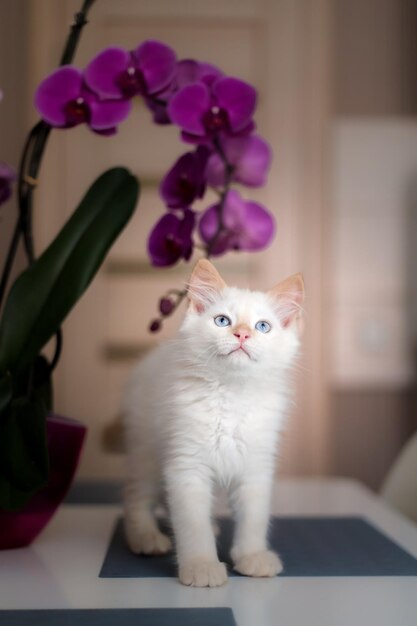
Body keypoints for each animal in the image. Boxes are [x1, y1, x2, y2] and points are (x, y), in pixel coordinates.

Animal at [122, 258, 304, 584]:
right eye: (222, 321)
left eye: (262, 327)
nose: (242, 334)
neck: (231, 392)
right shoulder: (186, 464)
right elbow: (192, 524)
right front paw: (201, 565)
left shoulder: (256, 466)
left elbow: (253, 519)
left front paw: (252, 557)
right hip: (146, 448)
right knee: (135, 494)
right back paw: (145, 537)